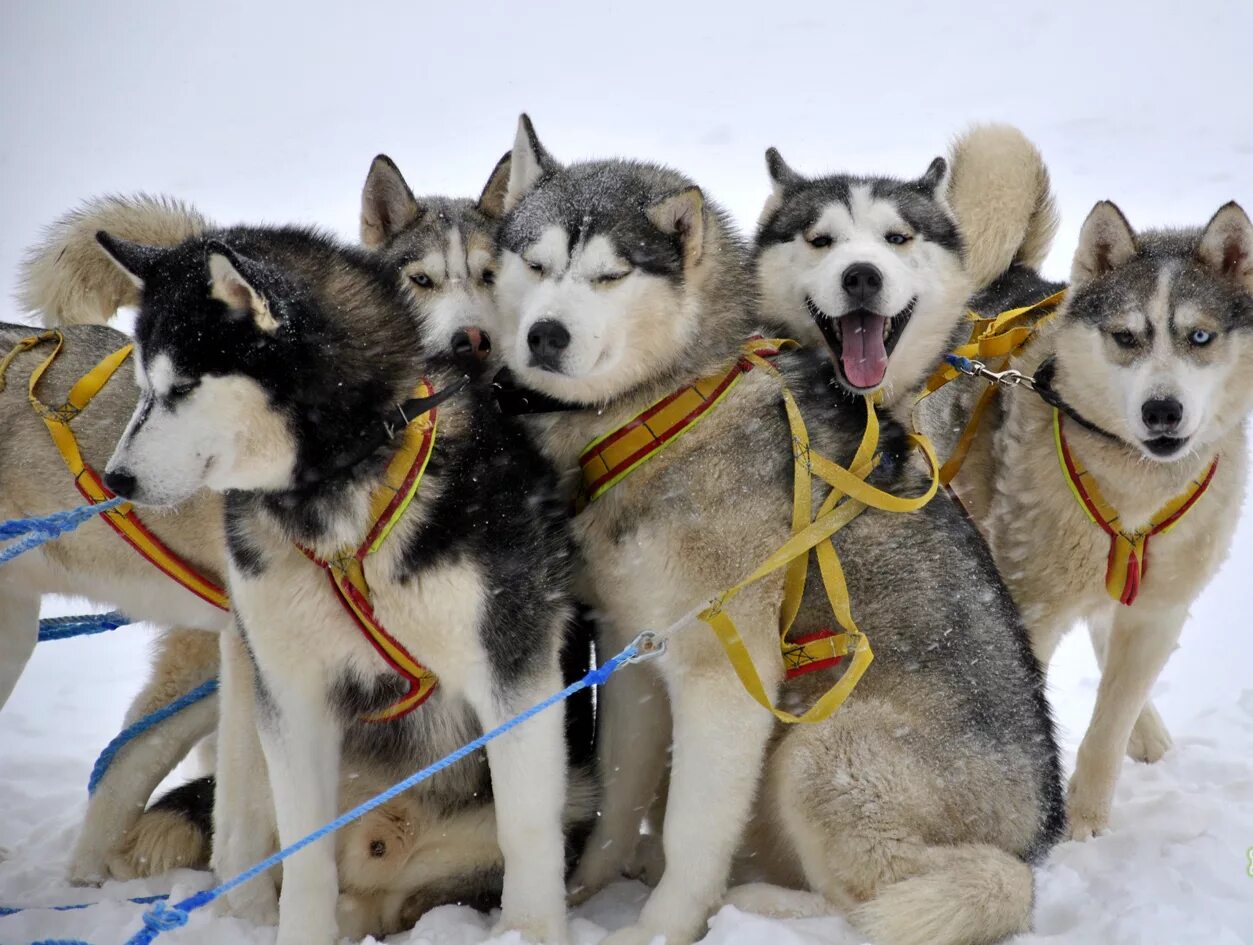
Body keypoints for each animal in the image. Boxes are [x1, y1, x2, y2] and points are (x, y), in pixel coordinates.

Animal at [92, 215, 573, 945]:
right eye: (144, 383)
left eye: (181, 387)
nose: (115, 480)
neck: (340, 501)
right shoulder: (292, 692)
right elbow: (305, 850)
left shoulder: (512, 666)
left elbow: (526, 831)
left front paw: (531, 931)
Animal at [922, 203, 1253, 837]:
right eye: (1126, 337)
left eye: (1200, 336)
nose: (1162, 410)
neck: (1138, 481)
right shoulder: (1029, 607)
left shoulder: (1158, 611)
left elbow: (1110, 722)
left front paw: (1085, 821)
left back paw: (1147, 733)